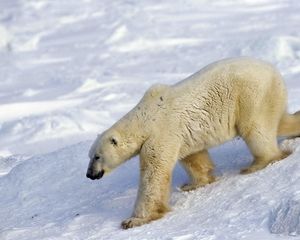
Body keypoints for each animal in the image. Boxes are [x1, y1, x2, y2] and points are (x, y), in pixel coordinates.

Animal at [85, 57, 300, 229]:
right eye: (90, 156)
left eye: (97, 156)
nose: (89, 174)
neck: (144, 118)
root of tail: (274, 72)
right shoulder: (180, 136)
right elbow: (193, 157)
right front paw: (194, 184)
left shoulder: (161, 133)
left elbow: (153, 175)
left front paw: (133, 220)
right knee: (278, 122)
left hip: (250, 96)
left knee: (255, 129)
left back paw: (256, 164)